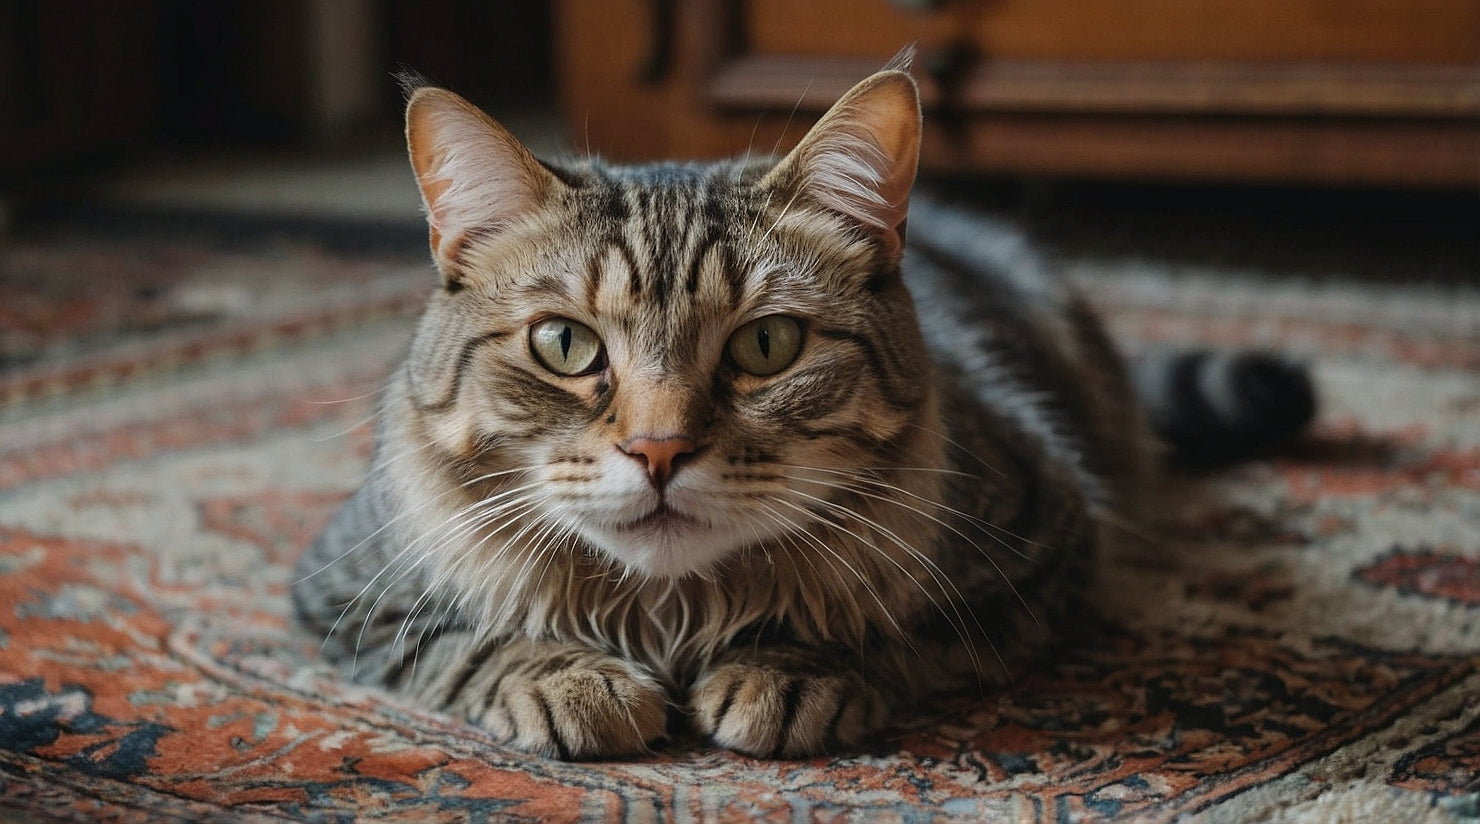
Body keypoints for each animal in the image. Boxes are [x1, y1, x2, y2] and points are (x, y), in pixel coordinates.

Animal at [294, 51, 1314, 757]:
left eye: (766, 346)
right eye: (565, 345)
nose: (659, 450)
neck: (673, 615)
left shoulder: (1048, 545)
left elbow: (897, 628)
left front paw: (789, 671)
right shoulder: (343, 590)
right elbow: (467, 643)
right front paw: (567, 682)